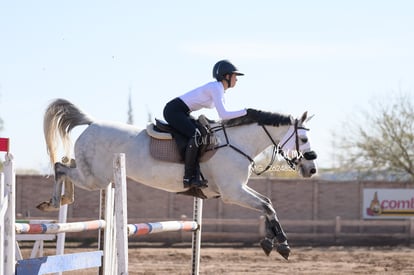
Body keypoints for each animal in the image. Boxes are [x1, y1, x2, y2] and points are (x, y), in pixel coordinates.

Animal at [37, 99, 318, 260]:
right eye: (303, 139)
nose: (312, 169)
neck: (238, 142)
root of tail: (92, 124)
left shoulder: (238, 189)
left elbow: (267, 203)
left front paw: (271, 242)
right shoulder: (232, 193)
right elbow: (267, 205)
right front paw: (282, 244)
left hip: (96, 176)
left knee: (66, 165)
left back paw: (62, 199)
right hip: (95, 179)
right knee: (60, 167)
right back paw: (54, 201)